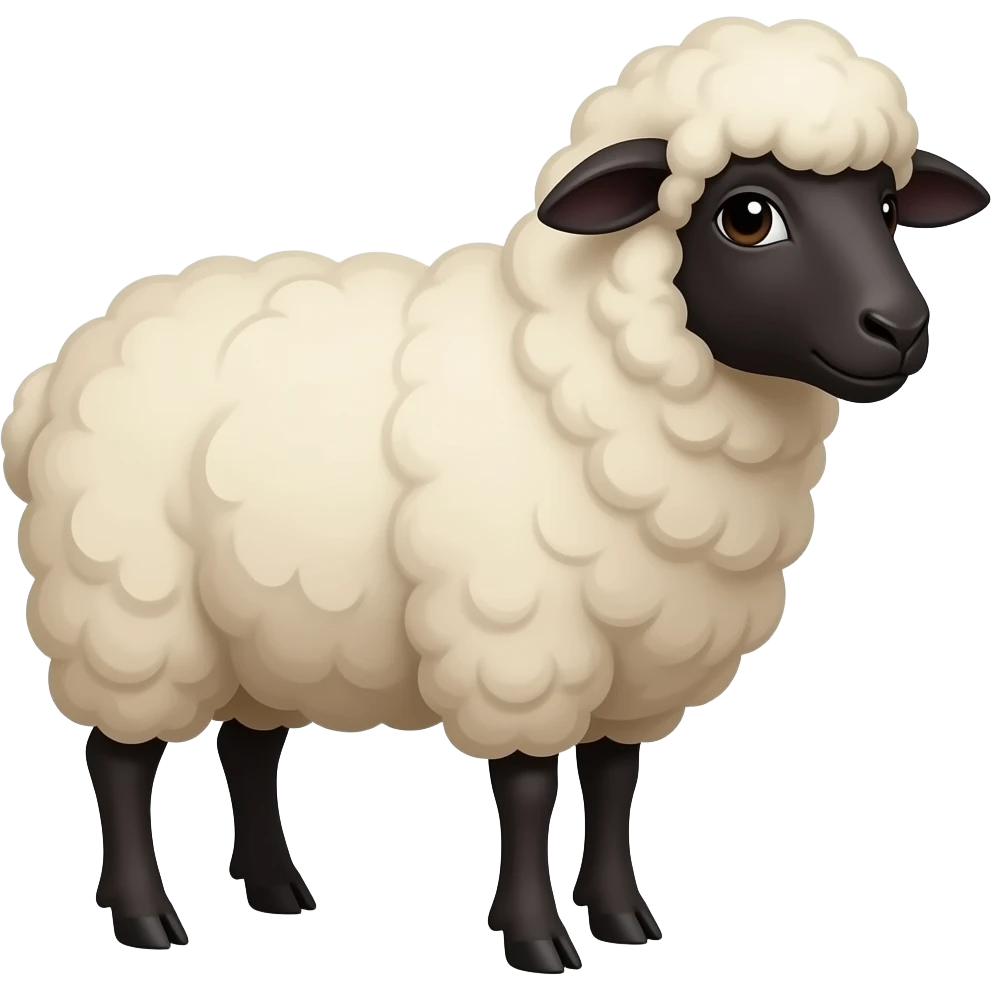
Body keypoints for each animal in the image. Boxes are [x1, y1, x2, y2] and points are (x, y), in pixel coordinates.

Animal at [2, 14, 987, 973]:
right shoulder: (517, 630)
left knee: (247, 744)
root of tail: (59, 366)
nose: (901, 328)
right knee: (118, 757)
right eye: (749, 216)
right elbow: (527, 786)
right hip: (128, 605)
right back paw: (145, 915)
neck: (577, 370)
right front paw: (537, 937)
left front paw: (622, 916)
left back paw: (278, 889)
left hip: (263, 623)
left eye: (887, 204)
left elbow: (613, 777)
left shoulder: (641, 647)